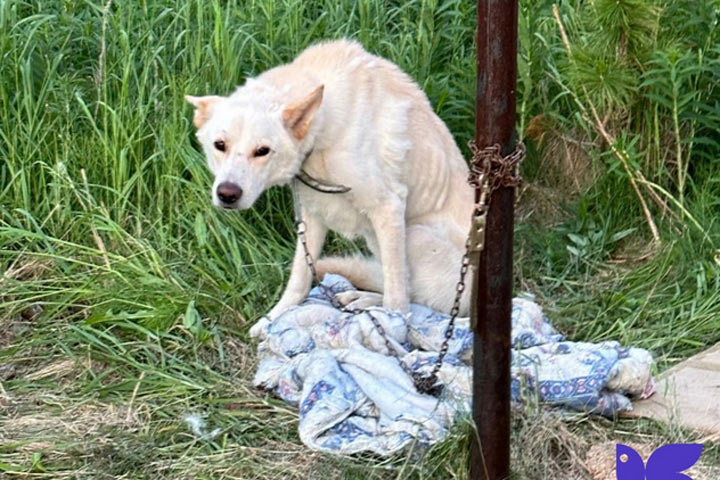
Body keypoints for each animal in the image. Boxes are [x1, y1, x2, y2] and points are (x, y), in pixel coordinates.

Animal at [188, 39, 476, 324]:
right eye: (220, 145)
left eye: (262, 151)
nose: (227, 194)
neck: (323, 129)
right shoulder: (313, 214)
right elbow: (299, 277)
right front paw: (273, 319)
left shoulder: (388, 207)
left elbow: (397, 298)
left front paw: (393, 327)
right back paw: (360, 299)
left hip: (413, 234)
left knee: (413, 296)